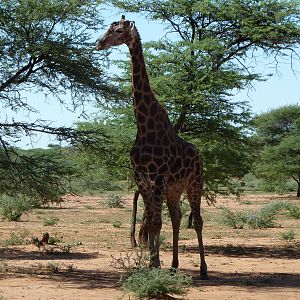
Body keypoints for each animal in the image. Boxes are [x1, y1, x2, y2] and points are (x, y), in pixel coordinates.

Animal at [96, 15, 209, 278]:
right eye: (108, 28)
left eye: (118, 30)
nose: (98, 43)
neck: (144, 125)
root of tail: (199, 155)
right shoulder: (141, 177)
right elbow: (151, 222)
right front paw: (151, 263)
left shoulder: (157, 176)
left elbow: (156, 222)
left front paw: (155, 264)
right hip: (174, 188)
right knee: (177, 217)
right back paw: (174, 265)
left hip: (194, 182)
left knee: (197, 220)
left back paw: (203, 269)